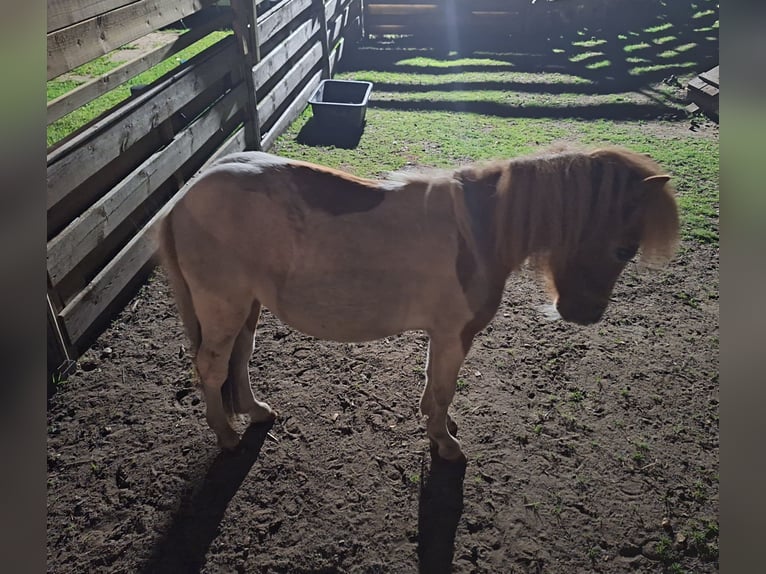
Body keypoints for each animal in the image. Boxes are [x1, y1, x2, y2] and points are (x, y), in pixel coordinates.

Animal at [156, 147, 680, 464]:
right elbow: (444, 387)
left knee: (238, 360)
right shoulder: (454, 334)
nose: (583, 314)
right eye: (624, 248)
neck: (480, 232)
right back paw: (226, 436)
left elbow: (434, 384)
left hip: (246, 307)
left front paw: (437, 424)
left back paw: (256, 411)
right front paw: (445, 443)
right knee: (211, 367)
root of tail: (184, 197)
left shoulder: (442, 335)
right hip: (224, 306)